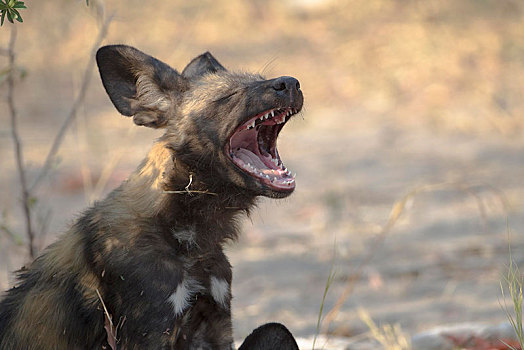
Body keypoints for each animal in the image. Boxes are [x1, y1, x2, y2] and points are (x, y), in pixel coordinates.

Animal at [1, 45, 302, 348]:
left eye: (260, 79)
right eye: (229, 95)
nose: (291, 82)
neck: (187, 235)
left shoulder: (215, 324)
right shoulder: (152, 330)